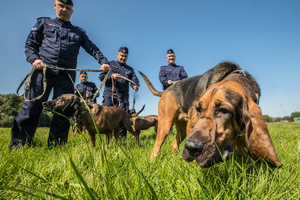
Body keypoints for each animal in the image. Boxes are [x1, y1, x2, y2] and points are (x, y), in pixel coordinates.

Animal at [139, 61, 282, 168]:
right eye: (198, 109)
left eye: (224, 111)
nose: (192, 148)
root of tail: (167, 89)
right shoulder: (192, 125)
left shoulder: (241, 137)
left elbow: (248, 160)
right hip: (165, 125)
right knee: (155, 148)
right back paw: (152, 163)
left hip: (181, 130)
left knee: (174, 145)